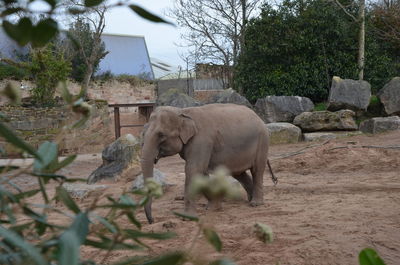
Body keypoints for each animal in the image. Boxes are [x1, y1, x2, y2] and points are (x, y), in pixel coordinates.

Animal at [141, 103, 278, 223]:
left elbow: (193, 170)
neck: (183, 112)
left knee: (257, 170)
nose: (152, 221)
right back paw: (249, 200)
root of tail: (258, 116)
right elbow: (201, 172)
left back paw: (256, 204)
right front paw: (213, 208)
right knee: (239, 174)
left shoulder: (202, 141)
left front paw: (187, 218)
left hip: (263, 140)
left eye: (161, 135)